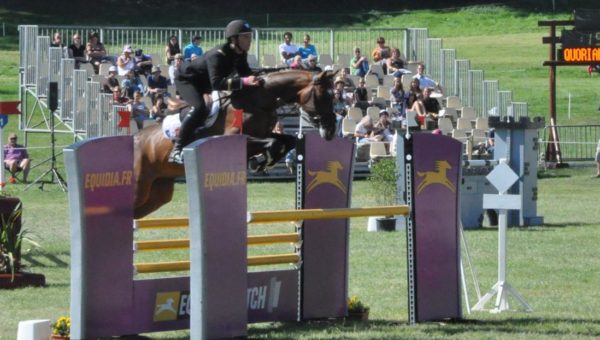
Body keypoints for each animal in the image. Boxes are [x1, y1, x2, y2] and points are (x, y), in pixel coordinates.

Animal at [133, 69, 338, 218]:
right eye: (324, 96)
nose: (331, 131)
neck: (259, 101)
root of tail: (135, 138)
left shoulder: (264, 133)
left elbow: (287, 141)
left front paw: (261, 162)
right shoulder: (236, 136)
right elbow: (273, 143)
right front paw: (259, 161)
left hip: (158, 193)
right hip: (141, 187)